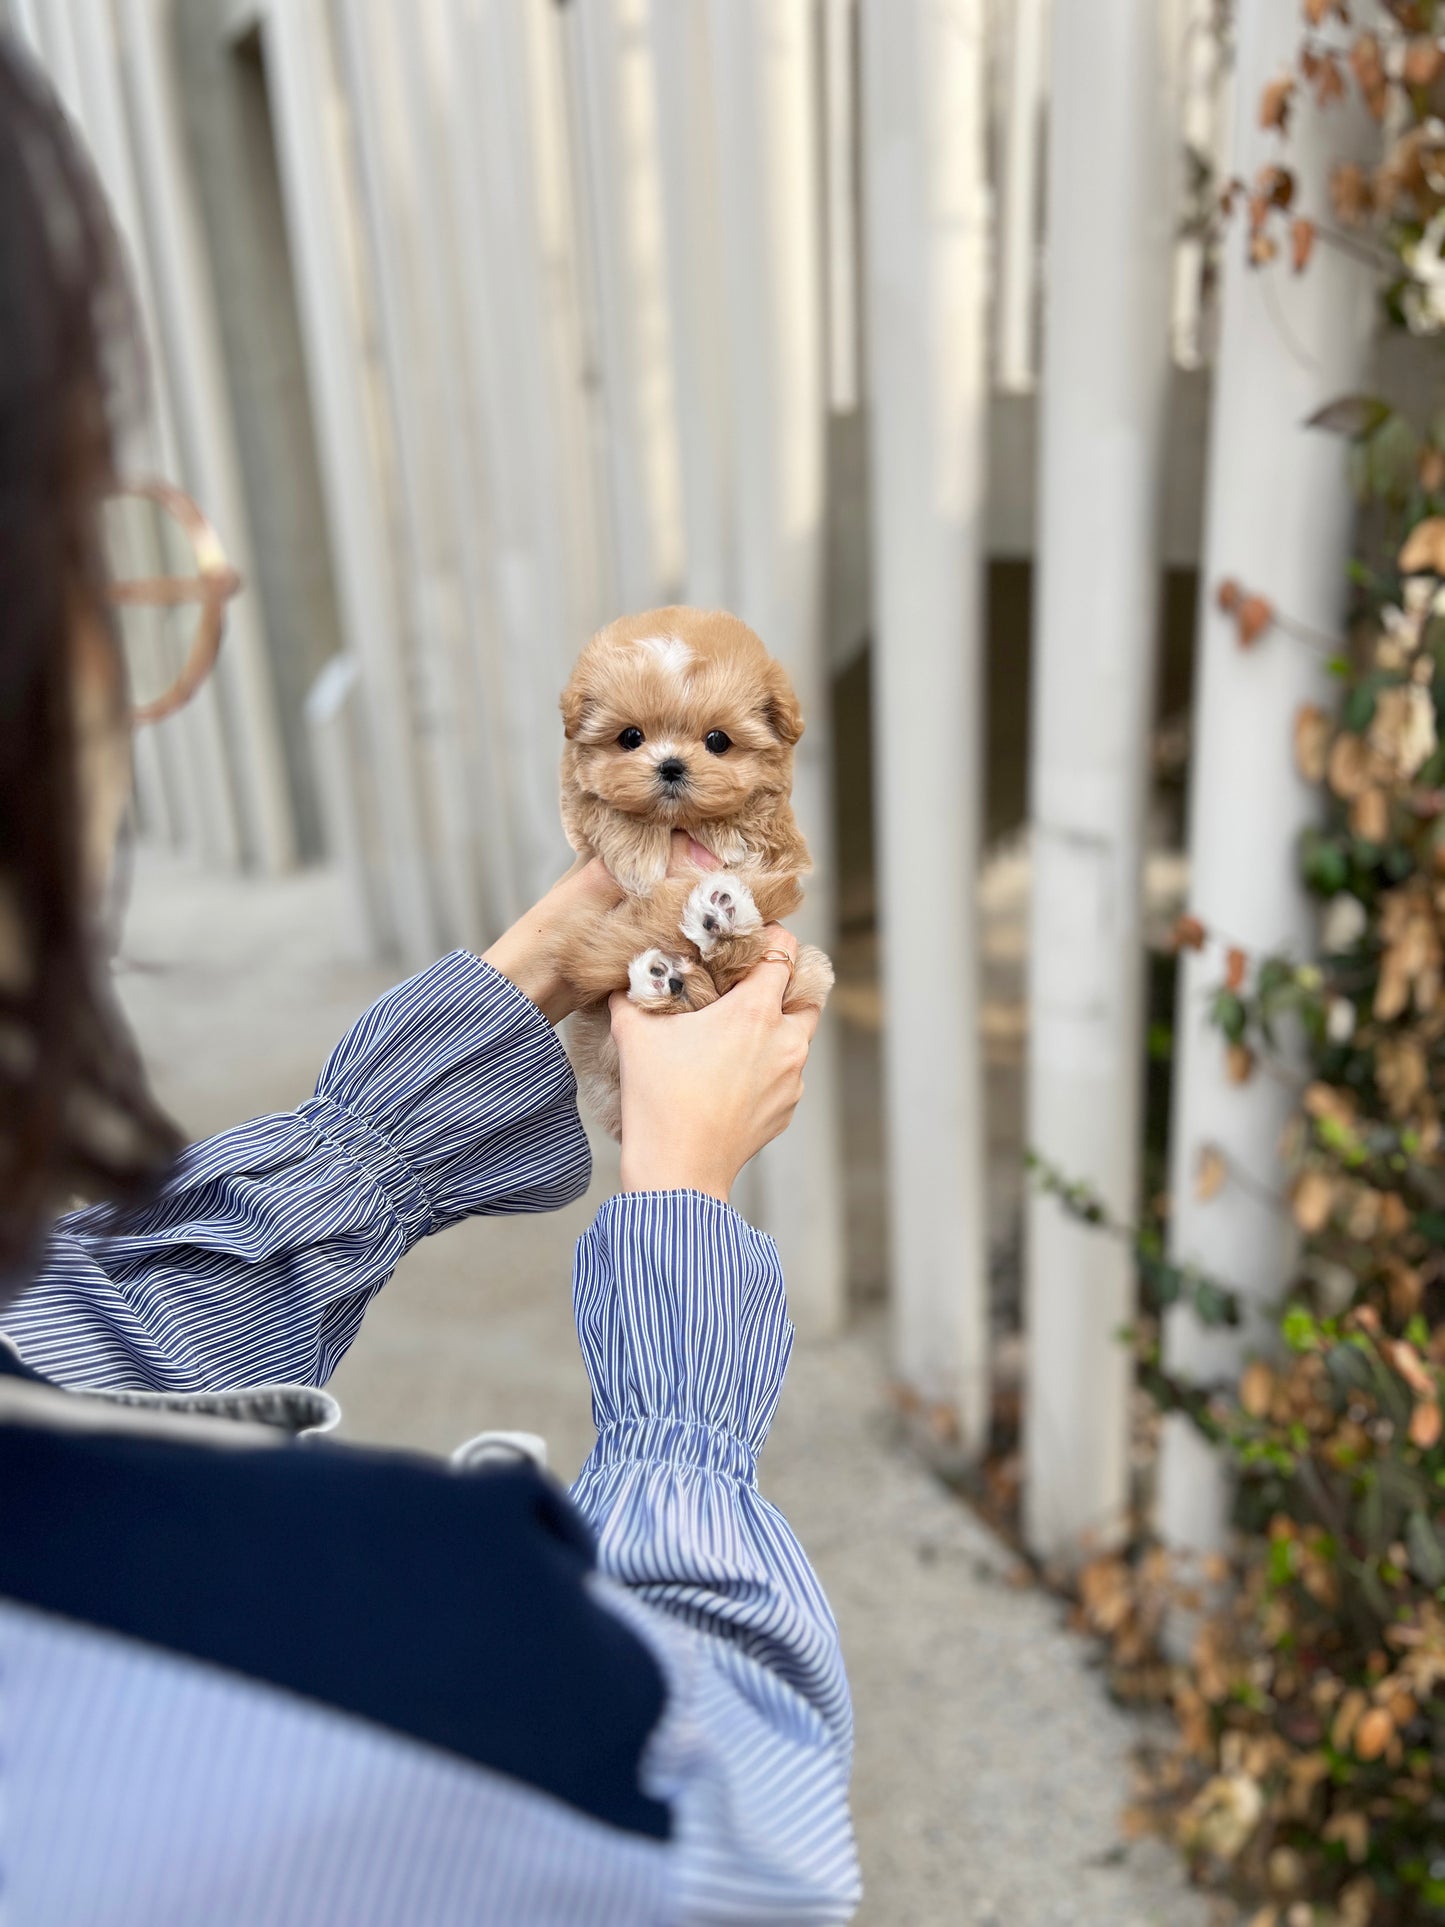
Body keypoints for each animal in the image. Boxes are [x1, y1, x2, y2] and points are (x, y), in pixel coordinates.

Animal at [558, 608, 843, 1133]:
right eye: (630, 737)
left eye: (718, 741)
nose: (671, 765)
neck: (679, 820)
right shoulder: (578, 803)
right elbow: (606, 808)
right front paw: (638, 855)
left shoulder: (780, 839)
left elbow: (757, 819)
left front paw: (730, 833)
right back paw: (666, 976)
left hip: (802, 973)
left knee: (730, 968)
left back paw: (718, 922)